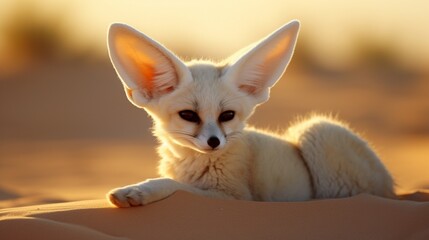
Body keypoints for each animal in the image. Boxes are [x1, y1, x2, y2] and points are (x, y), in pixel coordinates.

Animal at [105, 19, 392, 207]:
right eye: (188, 115)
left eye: (227, 116)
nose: (214, 142)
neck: (196, 165)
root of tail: (391, 185)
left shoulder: (235, 195)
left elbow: (176, 185)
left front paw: (141, 190)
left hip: (315, 131)